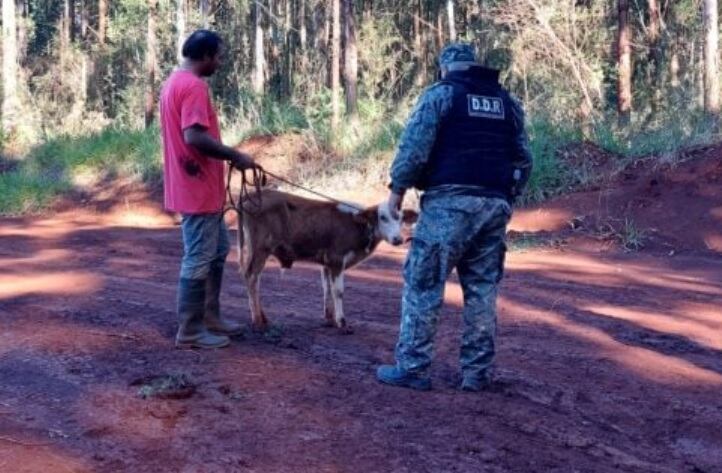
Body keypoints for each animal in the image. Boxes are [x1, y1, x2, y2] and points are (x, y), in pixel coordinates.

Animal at [233, 190, 408, 334]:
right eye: (383, 217)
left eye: (400, 219)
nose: (398, 239)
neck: (357, 225)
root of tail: (254, 194)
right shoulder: (337, 260)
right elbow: (338, 291)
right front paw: (342, 322)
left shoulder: (327, 264)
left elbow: (327, 288)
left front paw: (329, 318)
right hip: (260, 250)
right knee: (251, 277)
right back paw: (257, 320)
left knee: (253, 279)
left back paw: (262, 317)